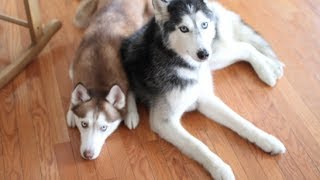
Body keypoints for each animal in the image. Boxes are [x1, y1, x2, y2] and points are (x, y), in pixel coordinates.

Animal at [66, 0, 151, 160]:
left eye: (104, 128)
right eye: (84, 124)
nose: (88, 154)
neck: (99, 84)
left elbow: (129, 92)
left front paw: (131, 112)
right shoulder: (73, 69)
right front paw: (71, 111)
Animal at [121, 0, 286, 179]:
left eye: (204, 24)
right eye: (183, 28)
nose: (203, 54)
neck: (185, 65)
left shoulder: (206, 99)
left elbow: (241, 122)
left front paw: (267, 140)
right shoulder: (164, 122)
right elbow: (198, 146)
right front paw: (221, 169)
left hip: (215, 55)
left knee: (244, 46)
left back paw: (270, 70)